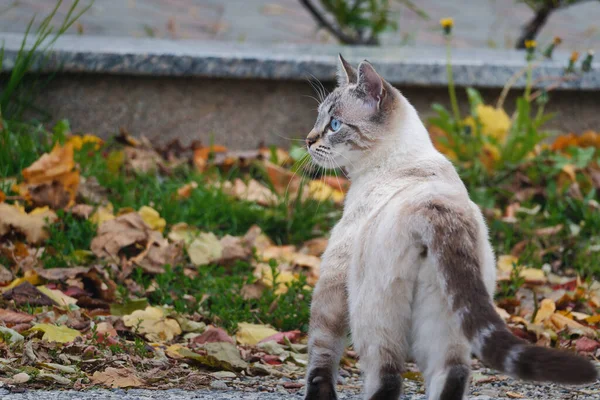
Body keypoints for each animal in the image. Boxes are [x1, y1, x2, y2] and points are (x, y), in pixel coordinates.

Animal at [302, 55, 596, 400]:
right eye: (319, 118)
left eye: (334, 125)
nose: (308, 140)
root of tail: (439, 213)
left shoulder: (333, 278)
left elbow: (320, 358)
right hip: (446, 320)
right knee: (452, 373)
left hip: (375, 317)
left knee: (387, 378)